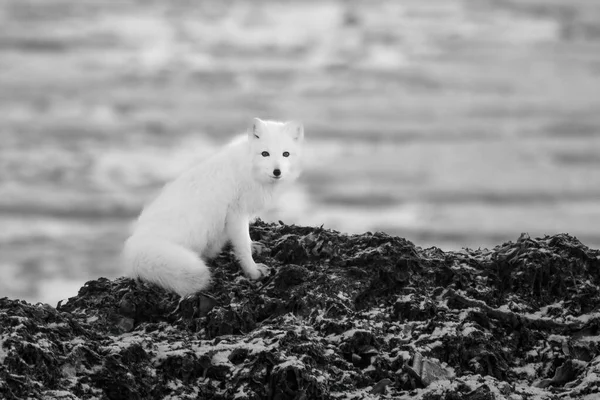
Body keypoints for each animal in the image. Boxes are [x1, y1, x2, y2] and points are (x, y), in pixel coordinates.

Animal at [125, 117, 308, 296]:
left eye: (286, 154)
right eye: (265, 154)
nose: (277, 172)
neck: (250, 170)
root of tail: (135, 243)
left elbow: (246, 240)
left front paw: (253, 246)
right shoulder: (237, 213)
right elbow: (242, 246)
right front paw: (253, 271)